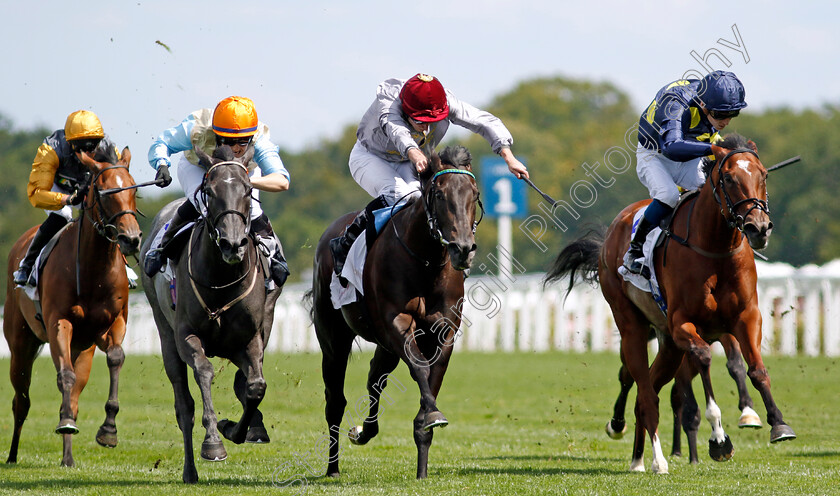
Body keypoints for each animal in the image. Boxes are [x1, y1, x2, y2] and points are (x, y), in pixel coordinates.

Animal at [4, 145, 141, 466]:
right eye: (103, 191)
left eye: (134, 190)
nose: (131, 239)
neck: (94, 271)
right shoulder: (59, 322)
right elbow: (63, 375)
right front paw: (67, 422)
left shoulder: (112, 324)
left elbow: (116, 357)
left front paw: (109, 430)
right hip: (20, 344)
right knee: (22, 400)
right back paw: (13, 455)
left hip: (83, 349)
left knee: (75, 394)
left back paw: (68, 457)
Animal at [139, 144, 278, 484]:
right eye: (210, 192)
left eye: (249, 190)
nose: (232, 244)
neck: (221, 281)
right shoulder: (186, 335)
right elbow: (204, 372)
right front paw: (214, 441)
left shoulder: (250, 339)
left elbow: (256, 386)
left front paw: (236, 428)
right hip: (165, 335)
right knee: (183, 406)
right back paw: (190, 470)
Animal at [308, 145, 480, 478]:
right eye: (440, 194)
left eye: (474, 194)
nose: (463, 249)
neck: (427, 261)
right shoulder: (395, 322)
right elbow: (421, 368)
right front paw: (433, 415)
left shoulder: (445, 331)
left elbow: (433, 376)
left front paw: (423, 464)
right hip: (333, 338)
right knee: (335, 400)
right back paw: (333, 467)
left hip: (383, 344)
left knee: (376, 377)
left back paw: (365, 432)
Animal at [544, 134, 796, 474]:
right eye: (729, 178)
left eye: (764, 175)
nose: (759, 227)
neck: (714, 250)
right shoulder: (683, 325)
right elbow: (704, 359)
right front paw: (719, 439)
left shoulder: (745, 318)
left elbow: (754, 368)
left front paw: (776, 423)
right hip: (634, 328)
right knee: (642, 389)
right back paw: (656, 459)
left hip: (669, 347)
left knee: (646, 390)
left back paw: (638, 458)